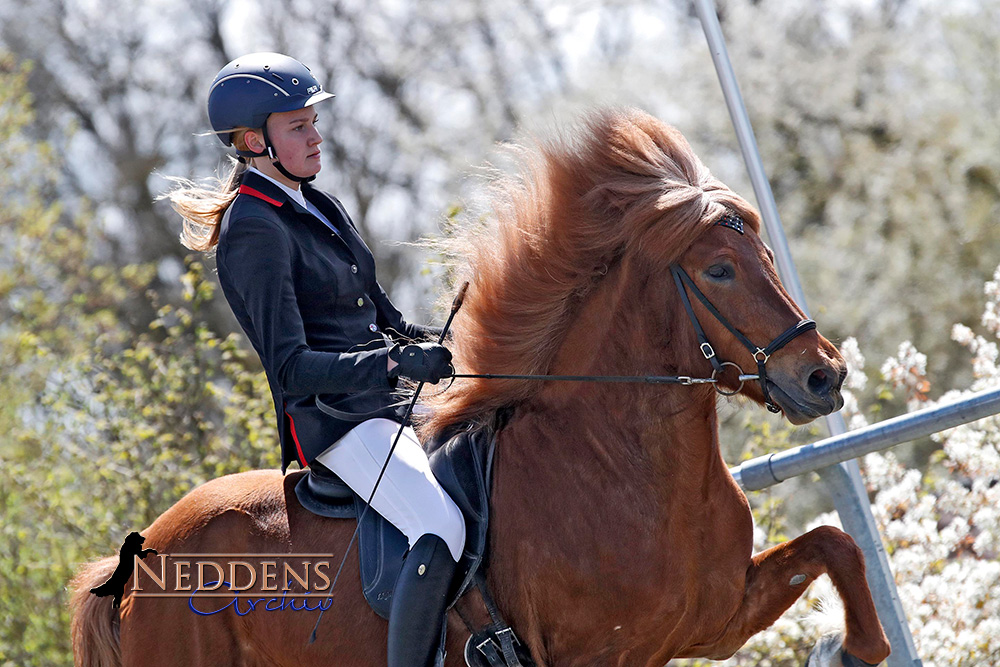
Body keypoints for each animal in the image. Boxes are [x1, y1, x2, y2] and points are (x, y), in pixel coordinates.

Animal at [76, 109, 892, 667]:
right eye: (719, 270)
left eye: (764, 253)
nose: (823, 374)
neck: (618, 469)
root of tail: (138, 558)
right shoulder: (599, 655)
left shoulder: (715, 618)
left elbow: (836, 544)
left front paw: (852, 648)